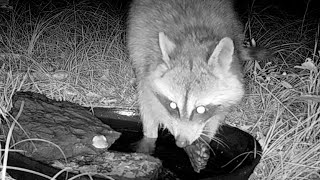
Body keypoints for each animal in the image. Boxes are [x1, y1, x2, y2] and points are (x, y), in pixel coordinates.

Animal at [127, 0, 248, 152]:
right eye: (173, 105)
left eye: (200, 109)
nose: (181, 142)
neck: (192, 39)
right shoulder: (146, 64)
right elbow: (148, 103)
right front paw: (150, 137)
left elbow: (219, 114)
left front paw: (205, 137)